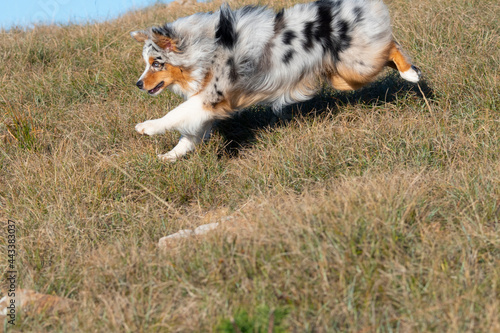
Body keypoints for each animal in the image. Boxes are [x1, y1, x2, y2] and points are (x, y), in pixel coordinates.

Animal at [131, 0, 420, 161]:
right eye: (146, 63)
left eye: (156, 63)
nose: (138, 84)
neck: (205, 48)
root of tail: (350, 6)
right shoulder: (207, 103)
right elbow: (189, 135)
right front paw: (169, 156)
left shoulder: (212, 96)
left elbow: (175, 113)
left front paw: (148, 127)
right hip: (342, 76)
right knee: (388, 51)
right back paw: (412, 70)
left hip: (356, 66)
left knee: (390, 46)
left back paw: (411, 73)